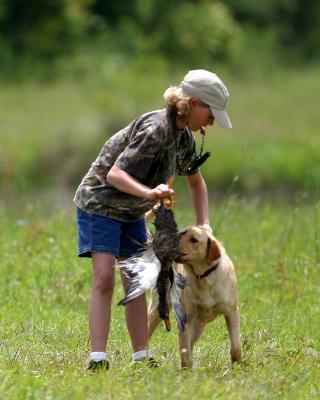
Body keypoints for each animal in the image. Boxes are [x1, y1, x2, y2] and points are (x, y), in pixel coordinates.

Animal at [148, 225, 240, 368]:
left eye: (194, 240)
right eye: (180, 235)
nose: (168, 244)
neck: (203, 276)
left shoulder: (231, 312)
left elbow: (236, 347)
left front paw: (237, 366)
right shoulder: (185, 319)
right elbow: (184, 350)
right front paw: (186, 370)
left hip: (199, 325)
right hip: (157, 311)